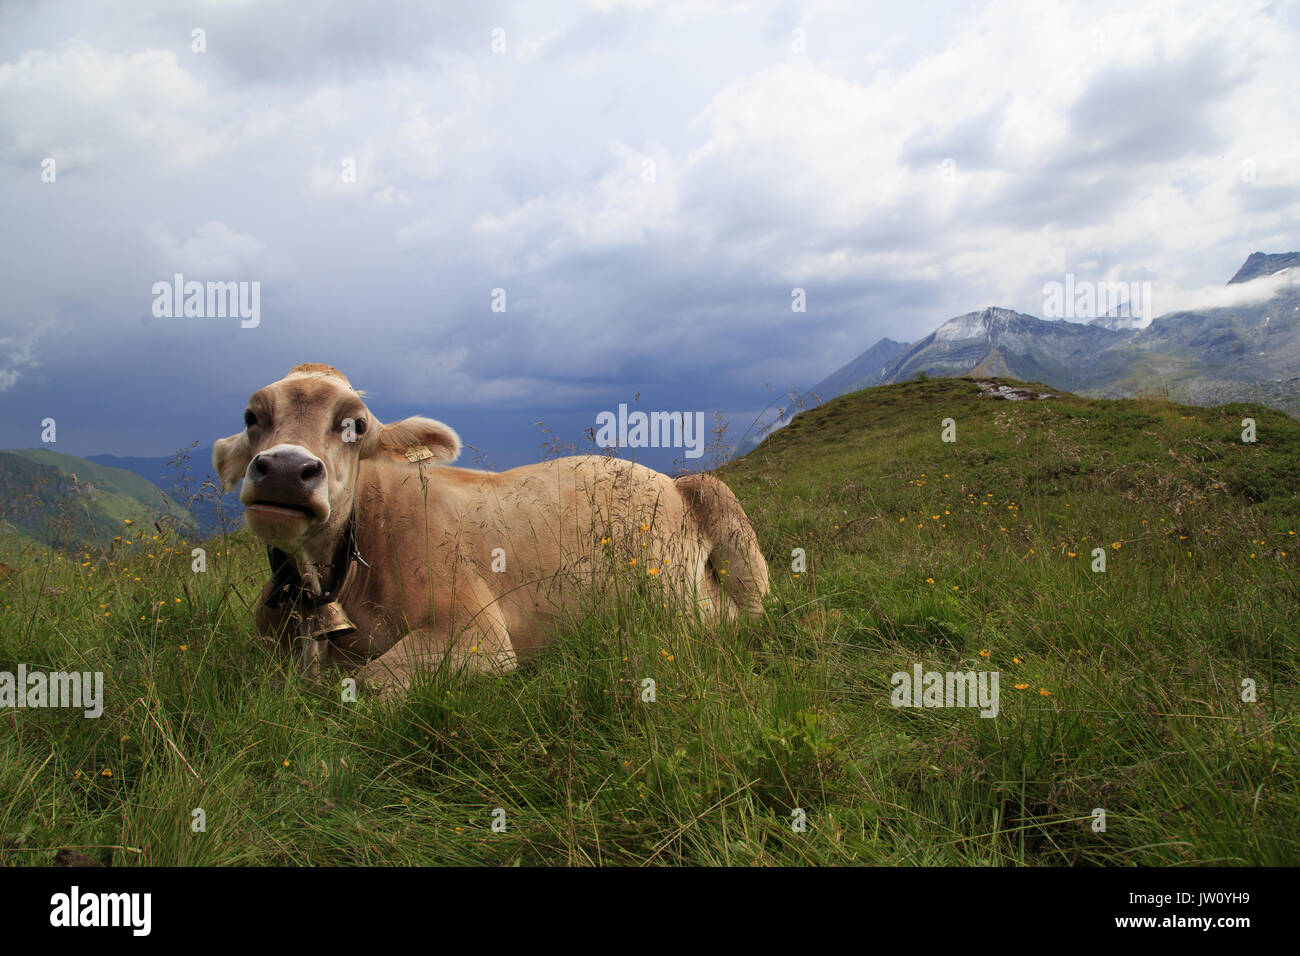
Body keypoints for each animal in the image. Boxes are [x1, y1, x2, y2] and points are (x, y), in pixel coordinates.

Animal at [212, 364, 769, 698]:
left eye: (357, 425)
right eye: (251, 416)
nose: (286, 469)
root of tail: (669, 481)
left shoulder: (476, 631)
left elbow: (366, 682)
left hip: (713, 517)